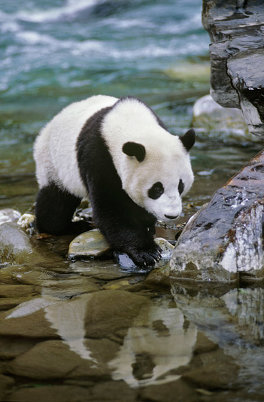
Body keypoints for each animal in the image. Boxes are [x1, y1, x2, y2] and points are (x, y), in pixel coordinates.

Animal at [33, 95, 194, 266]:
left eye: (180, 185)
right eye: (157, 189)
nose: (172, 215)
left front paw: (147, 226)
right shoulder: (98, 157)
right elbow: (110, 209)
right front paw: (146, 252)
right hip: (53, 164)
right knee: (55, 204)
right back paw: (69, 226)